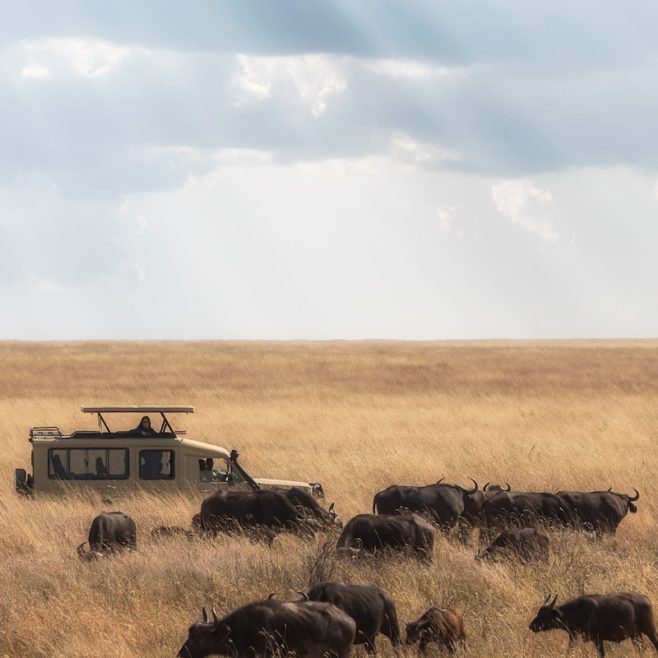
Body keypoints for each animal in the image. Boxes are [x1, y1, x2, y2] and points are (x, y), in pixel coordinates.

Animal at [528, 588, 656, 656]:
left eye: (544, 615)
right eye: (539, 613)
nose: (532, 626)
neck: (577, 612)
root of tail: (645, 598)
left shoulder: (597, 639)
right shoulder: (573, 637)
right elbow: (569, 651)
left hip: (650, 631)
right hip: (635, 635)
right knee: (641, 649)